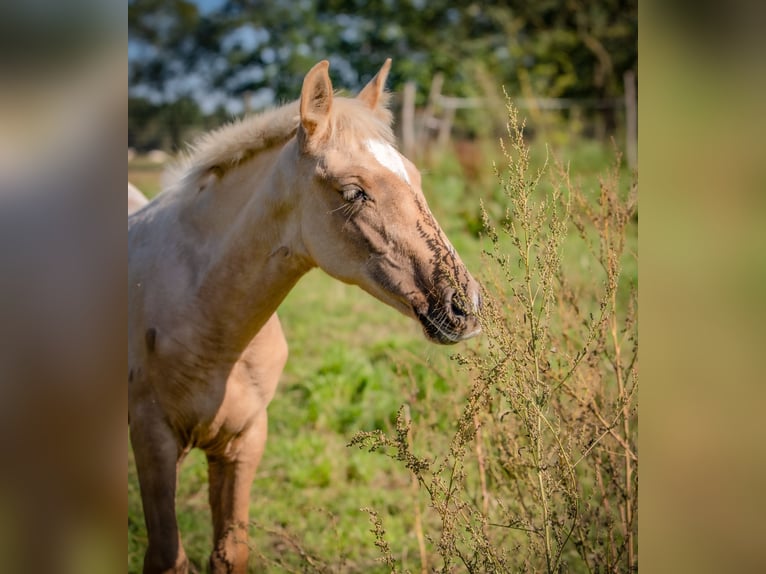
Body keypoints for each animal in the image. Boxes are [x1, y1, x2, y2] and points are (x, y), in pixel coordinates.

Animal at [129, 59, 484, 574]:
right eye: (353, 192)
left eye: (416, 177)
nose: (465, 306)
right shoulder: (152, 440)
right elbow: (168, 557)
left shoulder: (245, 440)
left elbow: (229, 551)